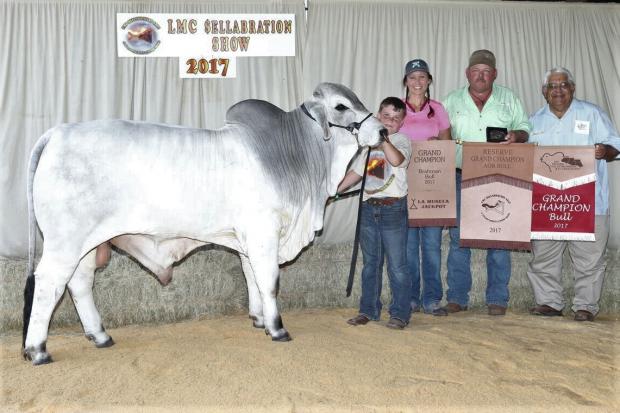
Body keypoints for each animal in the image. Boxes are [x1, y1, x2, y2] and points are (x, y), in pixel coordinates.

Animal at [21, 81, 386, 364]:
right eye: (341, 106)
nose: (382, 130)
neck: (297, 155)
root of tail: (57, 133)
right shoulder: (264, 233)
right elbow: (269, 281)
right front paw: (278, 328)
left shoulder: (247, 240)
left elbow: (252, 278)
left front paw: (259, 319)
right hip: (65, 240)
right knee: (49, 283)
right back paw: (37, 349)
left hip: (86, 244)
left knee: (79, 283)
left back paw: (99, 336)